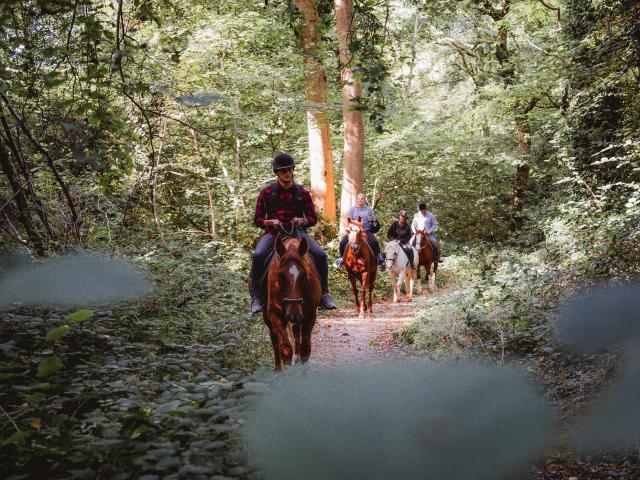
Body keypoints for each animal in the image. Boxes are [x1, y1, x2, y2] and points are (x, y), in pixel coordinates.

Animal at [263, 231, 322, 371]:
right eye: (280, 275)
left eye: (305, 275)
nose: (293, 314)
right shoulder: (275, 315)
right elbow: (285, 349)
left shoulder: (310, 315)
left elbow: (306, 348)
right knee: (274, 338)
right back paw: (278, 369)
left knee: (296, 334)